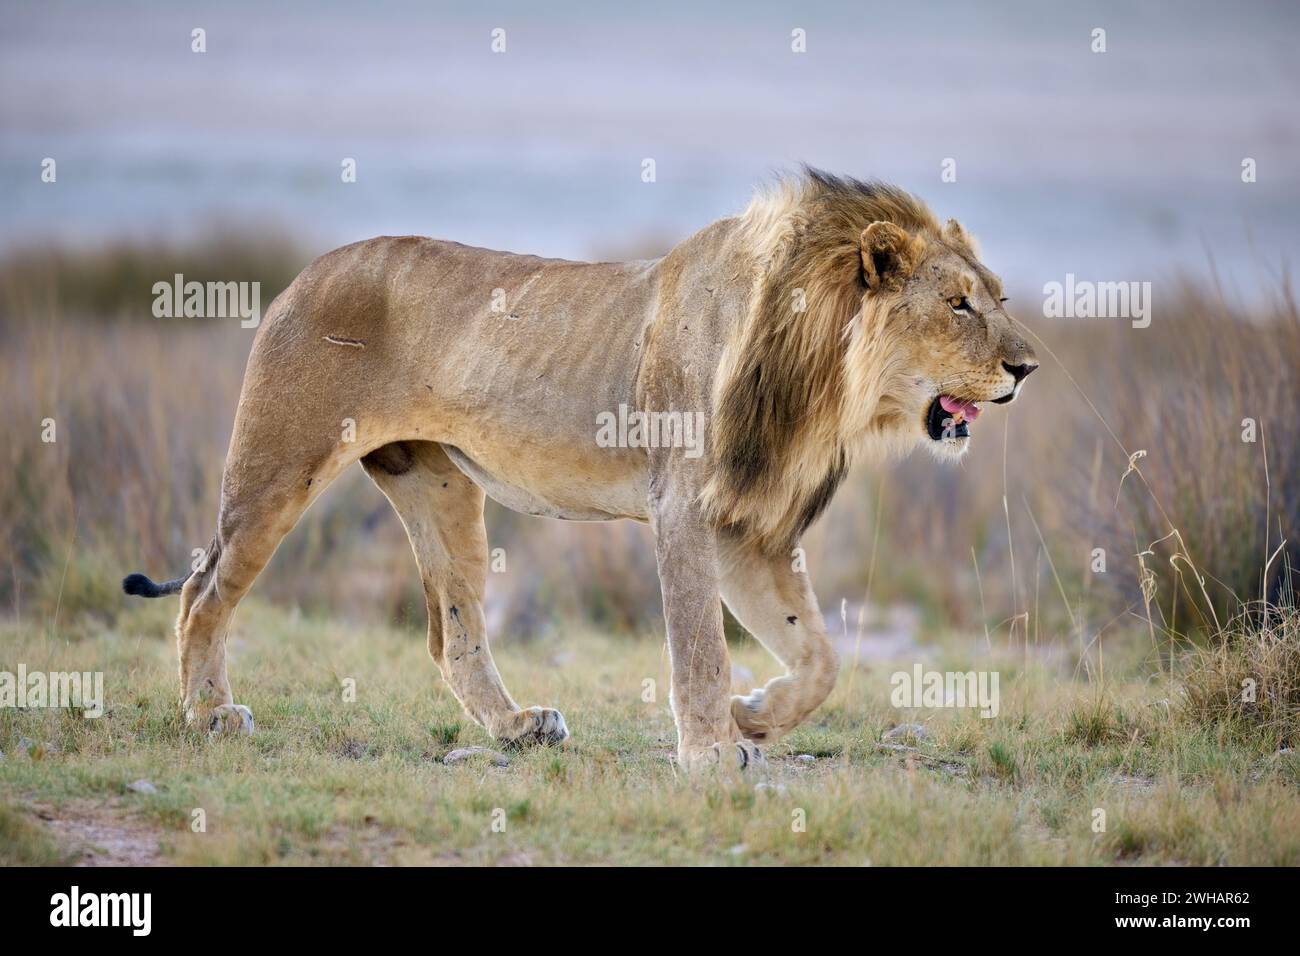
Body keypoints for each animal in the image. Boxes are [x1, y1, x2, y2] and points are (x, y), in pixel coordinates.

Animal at [122, 170, 1034, 770]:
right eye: (957, 304)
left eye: (998, 297)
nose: (1027, 368)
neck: (823, 378)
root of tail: (302, 272)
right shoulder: (686, 507)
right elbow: (700, 648)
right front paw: (712, 752)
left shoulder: (748, 531)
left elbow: (818, 658)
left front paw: (754, 720)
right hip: (279, 467)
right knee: (203, 592)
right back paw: (209, 716)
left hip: (438, 486)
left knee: (452, 633)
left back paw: (519, 728)